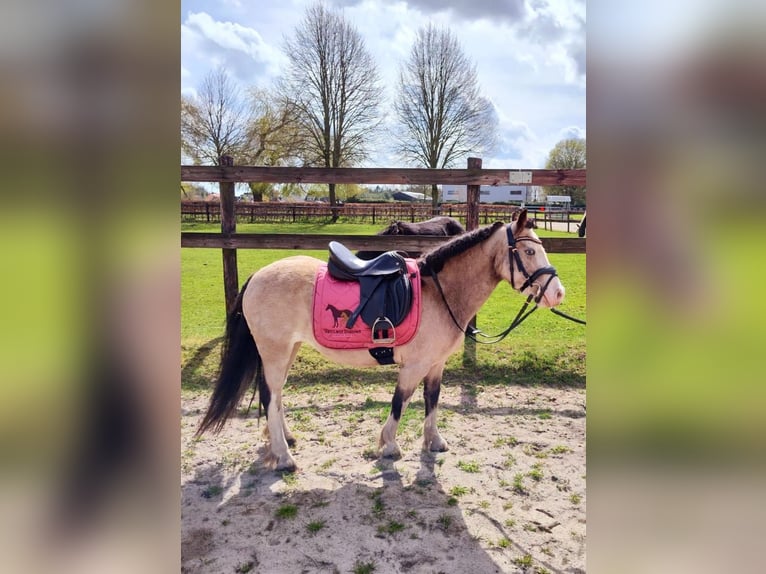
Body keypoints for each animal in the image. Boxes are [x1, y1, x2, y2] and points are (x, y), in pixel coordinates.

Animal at [196, 209, 565, 471]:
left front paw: (434, 441)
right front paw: (388, 446)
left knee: (276, 394)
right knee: (270, 395)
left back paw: (284, 439)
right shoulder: (414, 366)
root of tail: (257, 276)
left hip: (288, 350)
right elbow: (400, 401)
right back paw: (284, 457)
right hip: (274, 351)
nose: (558, 293)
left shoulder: (436, 364)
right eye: (528, 251)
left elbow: (432, 399)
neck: (439, 293)